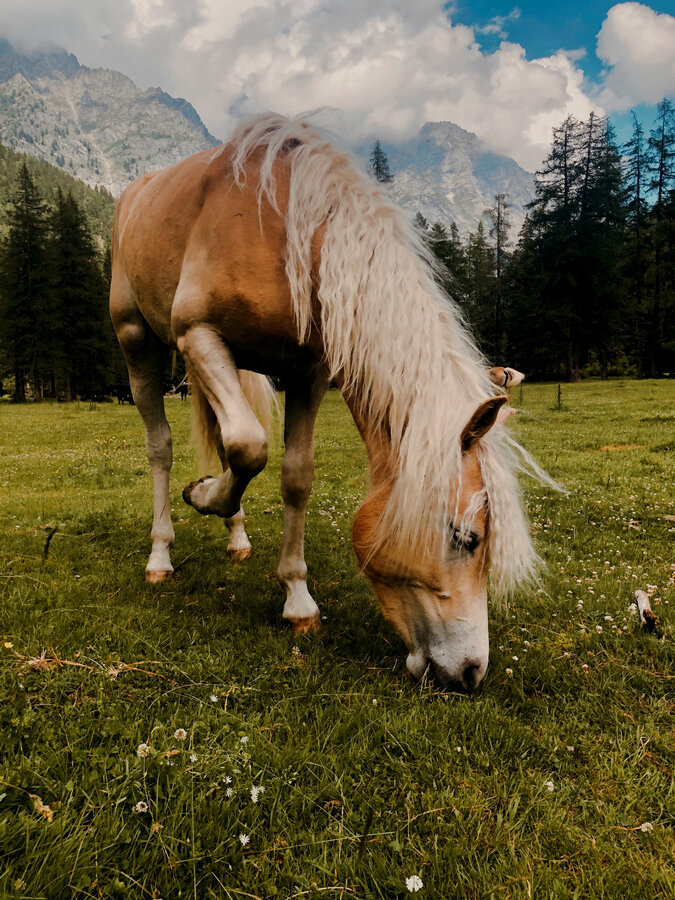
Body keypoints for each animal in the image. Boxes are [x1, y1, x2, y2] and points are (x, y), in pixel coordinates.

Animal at [108, 112, 548, 688]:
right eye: (465, 538)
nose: (472, 673)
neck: (283, 230)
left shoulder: (309, 371)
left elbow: (293, 474)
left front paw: (297, 600)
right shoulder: (197, 333)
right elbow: (249, 446)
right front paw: (202, 496)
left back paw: (236, 535)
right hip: (139, 340)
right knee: (161, 446)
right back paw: (161, 554)